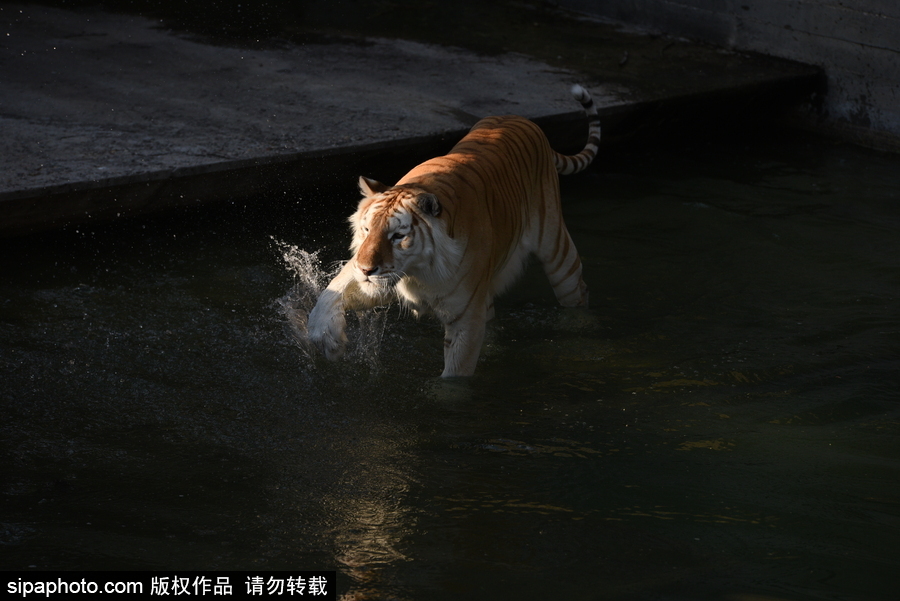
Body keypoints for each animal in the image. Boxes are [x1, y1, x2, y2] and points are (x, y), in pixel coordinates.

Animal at [306, 84, 600, 376]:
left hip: (557, 251)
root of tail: (521, 119)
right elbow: (333, 291)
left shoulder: (466, 318)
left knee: (578, 293)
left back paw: (580, 332)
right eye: (366, 230)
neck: (416, 272)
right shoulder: (379, 278)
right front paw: (326, 338)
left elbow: (455, 377)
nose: (367, 269)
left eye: (398, 236)